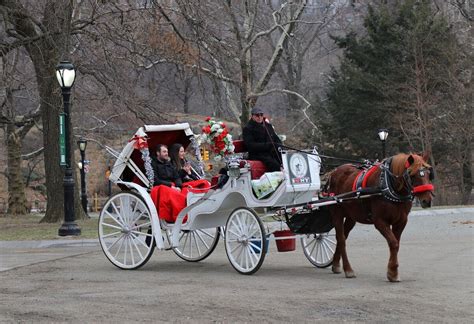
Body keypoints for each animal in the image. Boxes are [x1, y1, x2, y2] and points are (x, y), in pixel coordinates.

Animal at [328, 152, 436, 280]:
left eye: (429, 174)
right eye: (412, 175)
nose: (427, 201)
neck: (388, 187)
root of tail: (334, 172)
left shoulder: (401, 221)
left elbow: (396, 244)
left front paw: (392, 271)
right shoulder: (380, 221)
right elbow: (393, 243)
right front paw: (393, 272)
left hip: (351, 217)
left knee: (342, 237)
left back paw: (335, 264)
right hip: (337, 214)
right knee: (341, 239)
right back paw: (348, 269)